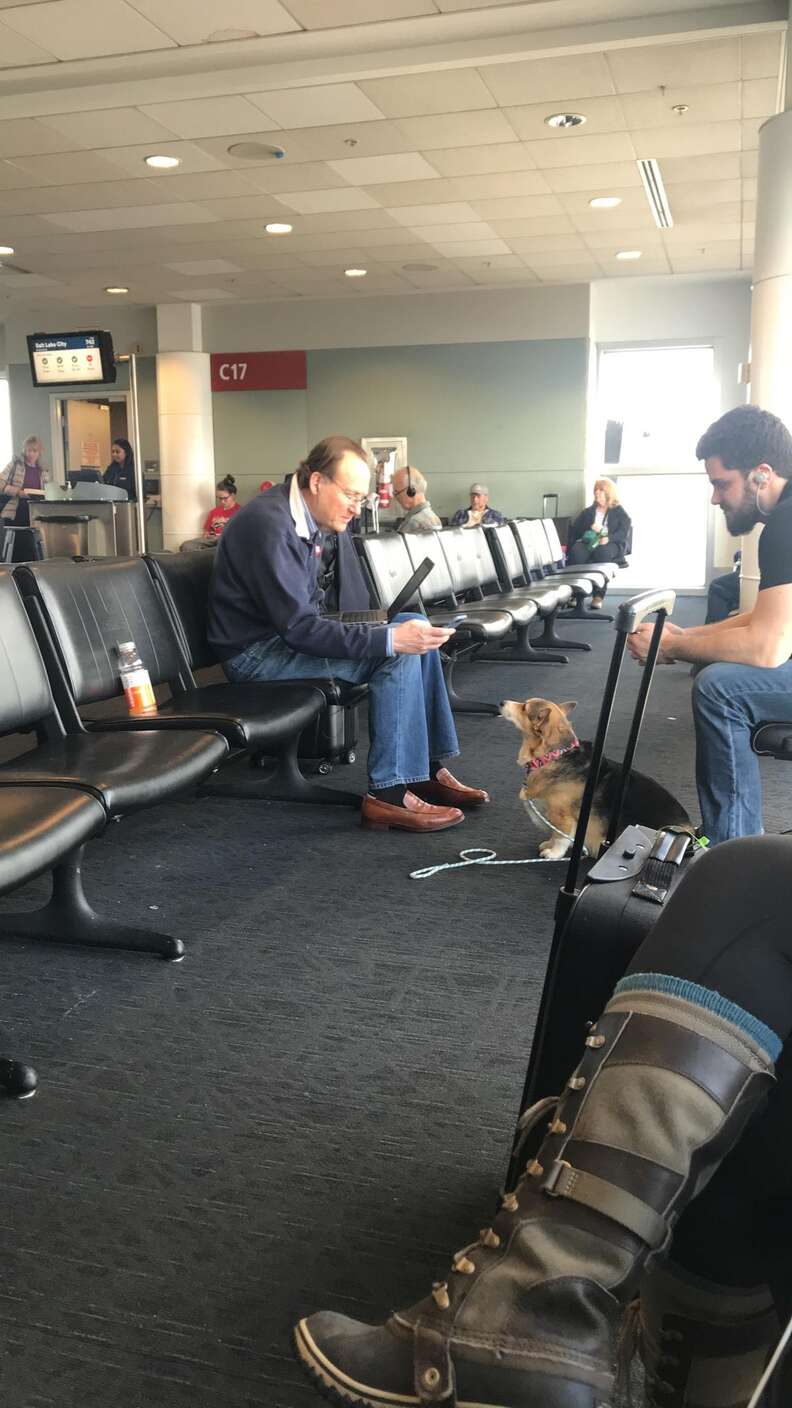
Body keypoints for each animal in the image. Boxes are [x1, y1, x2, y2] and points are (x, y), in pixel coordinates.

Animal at [498, 695, 690, 856]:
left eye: (524, 707)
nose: (501, 702)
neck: (553, 755)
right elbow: (554, 834)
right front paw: (548, 845)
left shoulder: (563, 816)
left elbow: (560, 837)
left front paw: (553, 853)